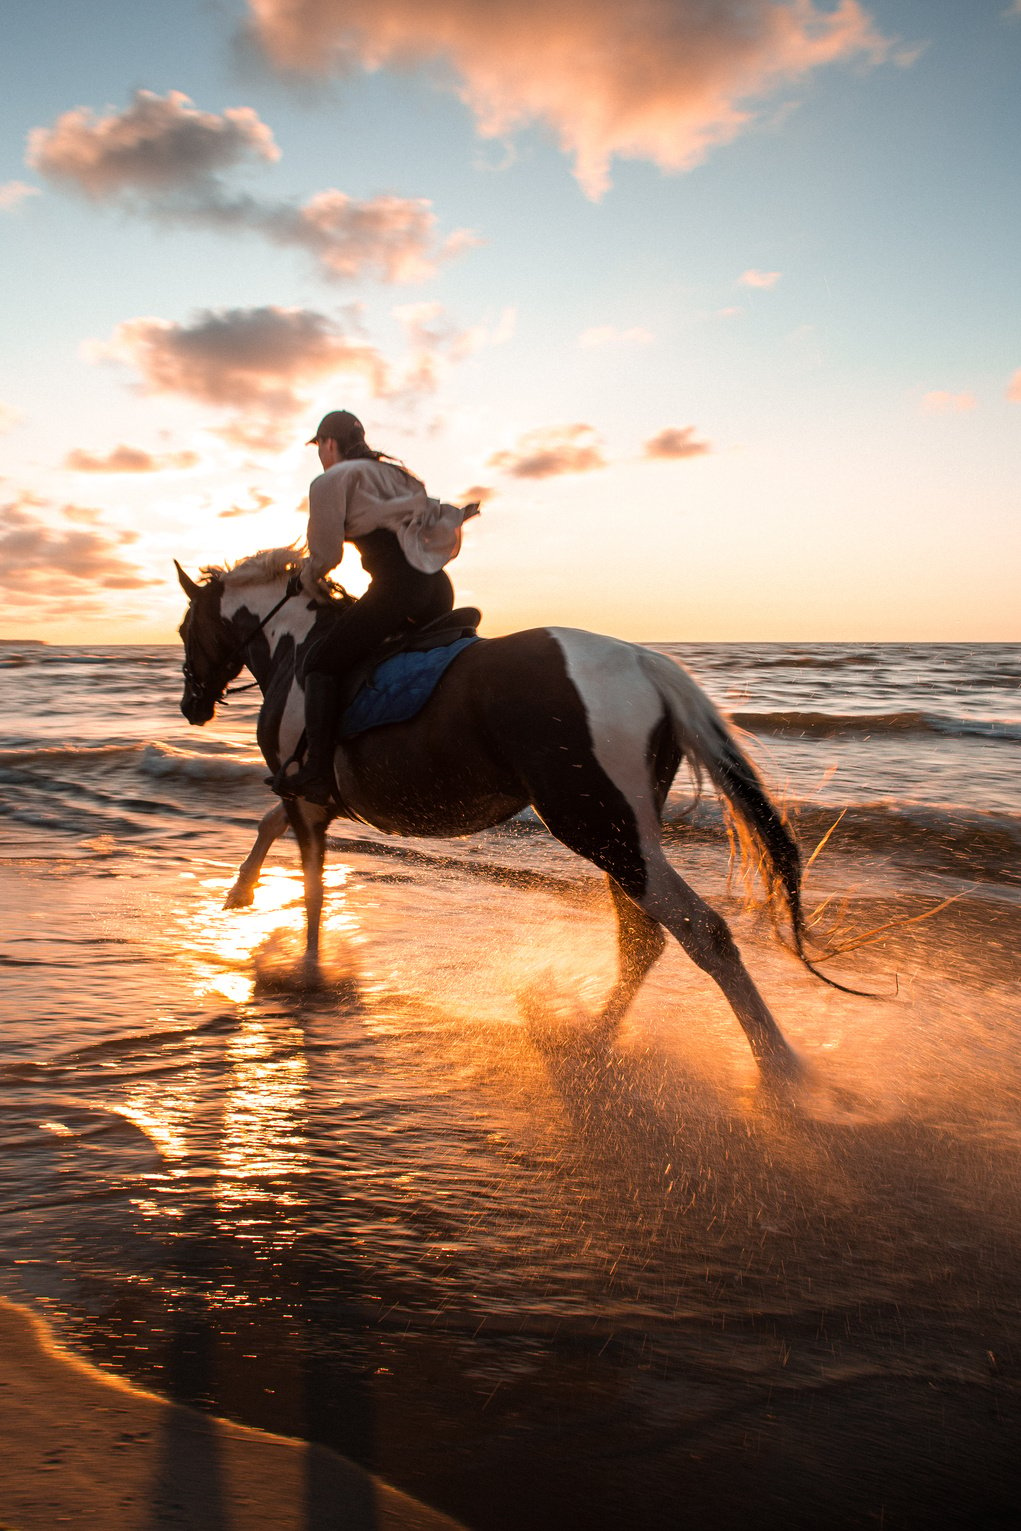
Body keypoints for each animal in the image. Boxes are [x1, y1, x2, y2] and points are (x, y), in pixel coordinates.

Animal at [177, 551, 838, 1090]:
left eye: (186, 629)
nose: (192, 706)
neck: (296, 649)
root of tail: (643, 663)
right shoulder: (315, 797)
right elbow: (269, 825)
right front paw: (240, 893)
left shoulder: (307, 796)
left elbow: (312, 889)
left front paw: (308, 973)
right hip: (618, 829)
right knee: (644, 937)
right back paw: (593, 1034)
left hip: (596, 825)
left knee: (700, 932)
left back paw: (779, 1069)